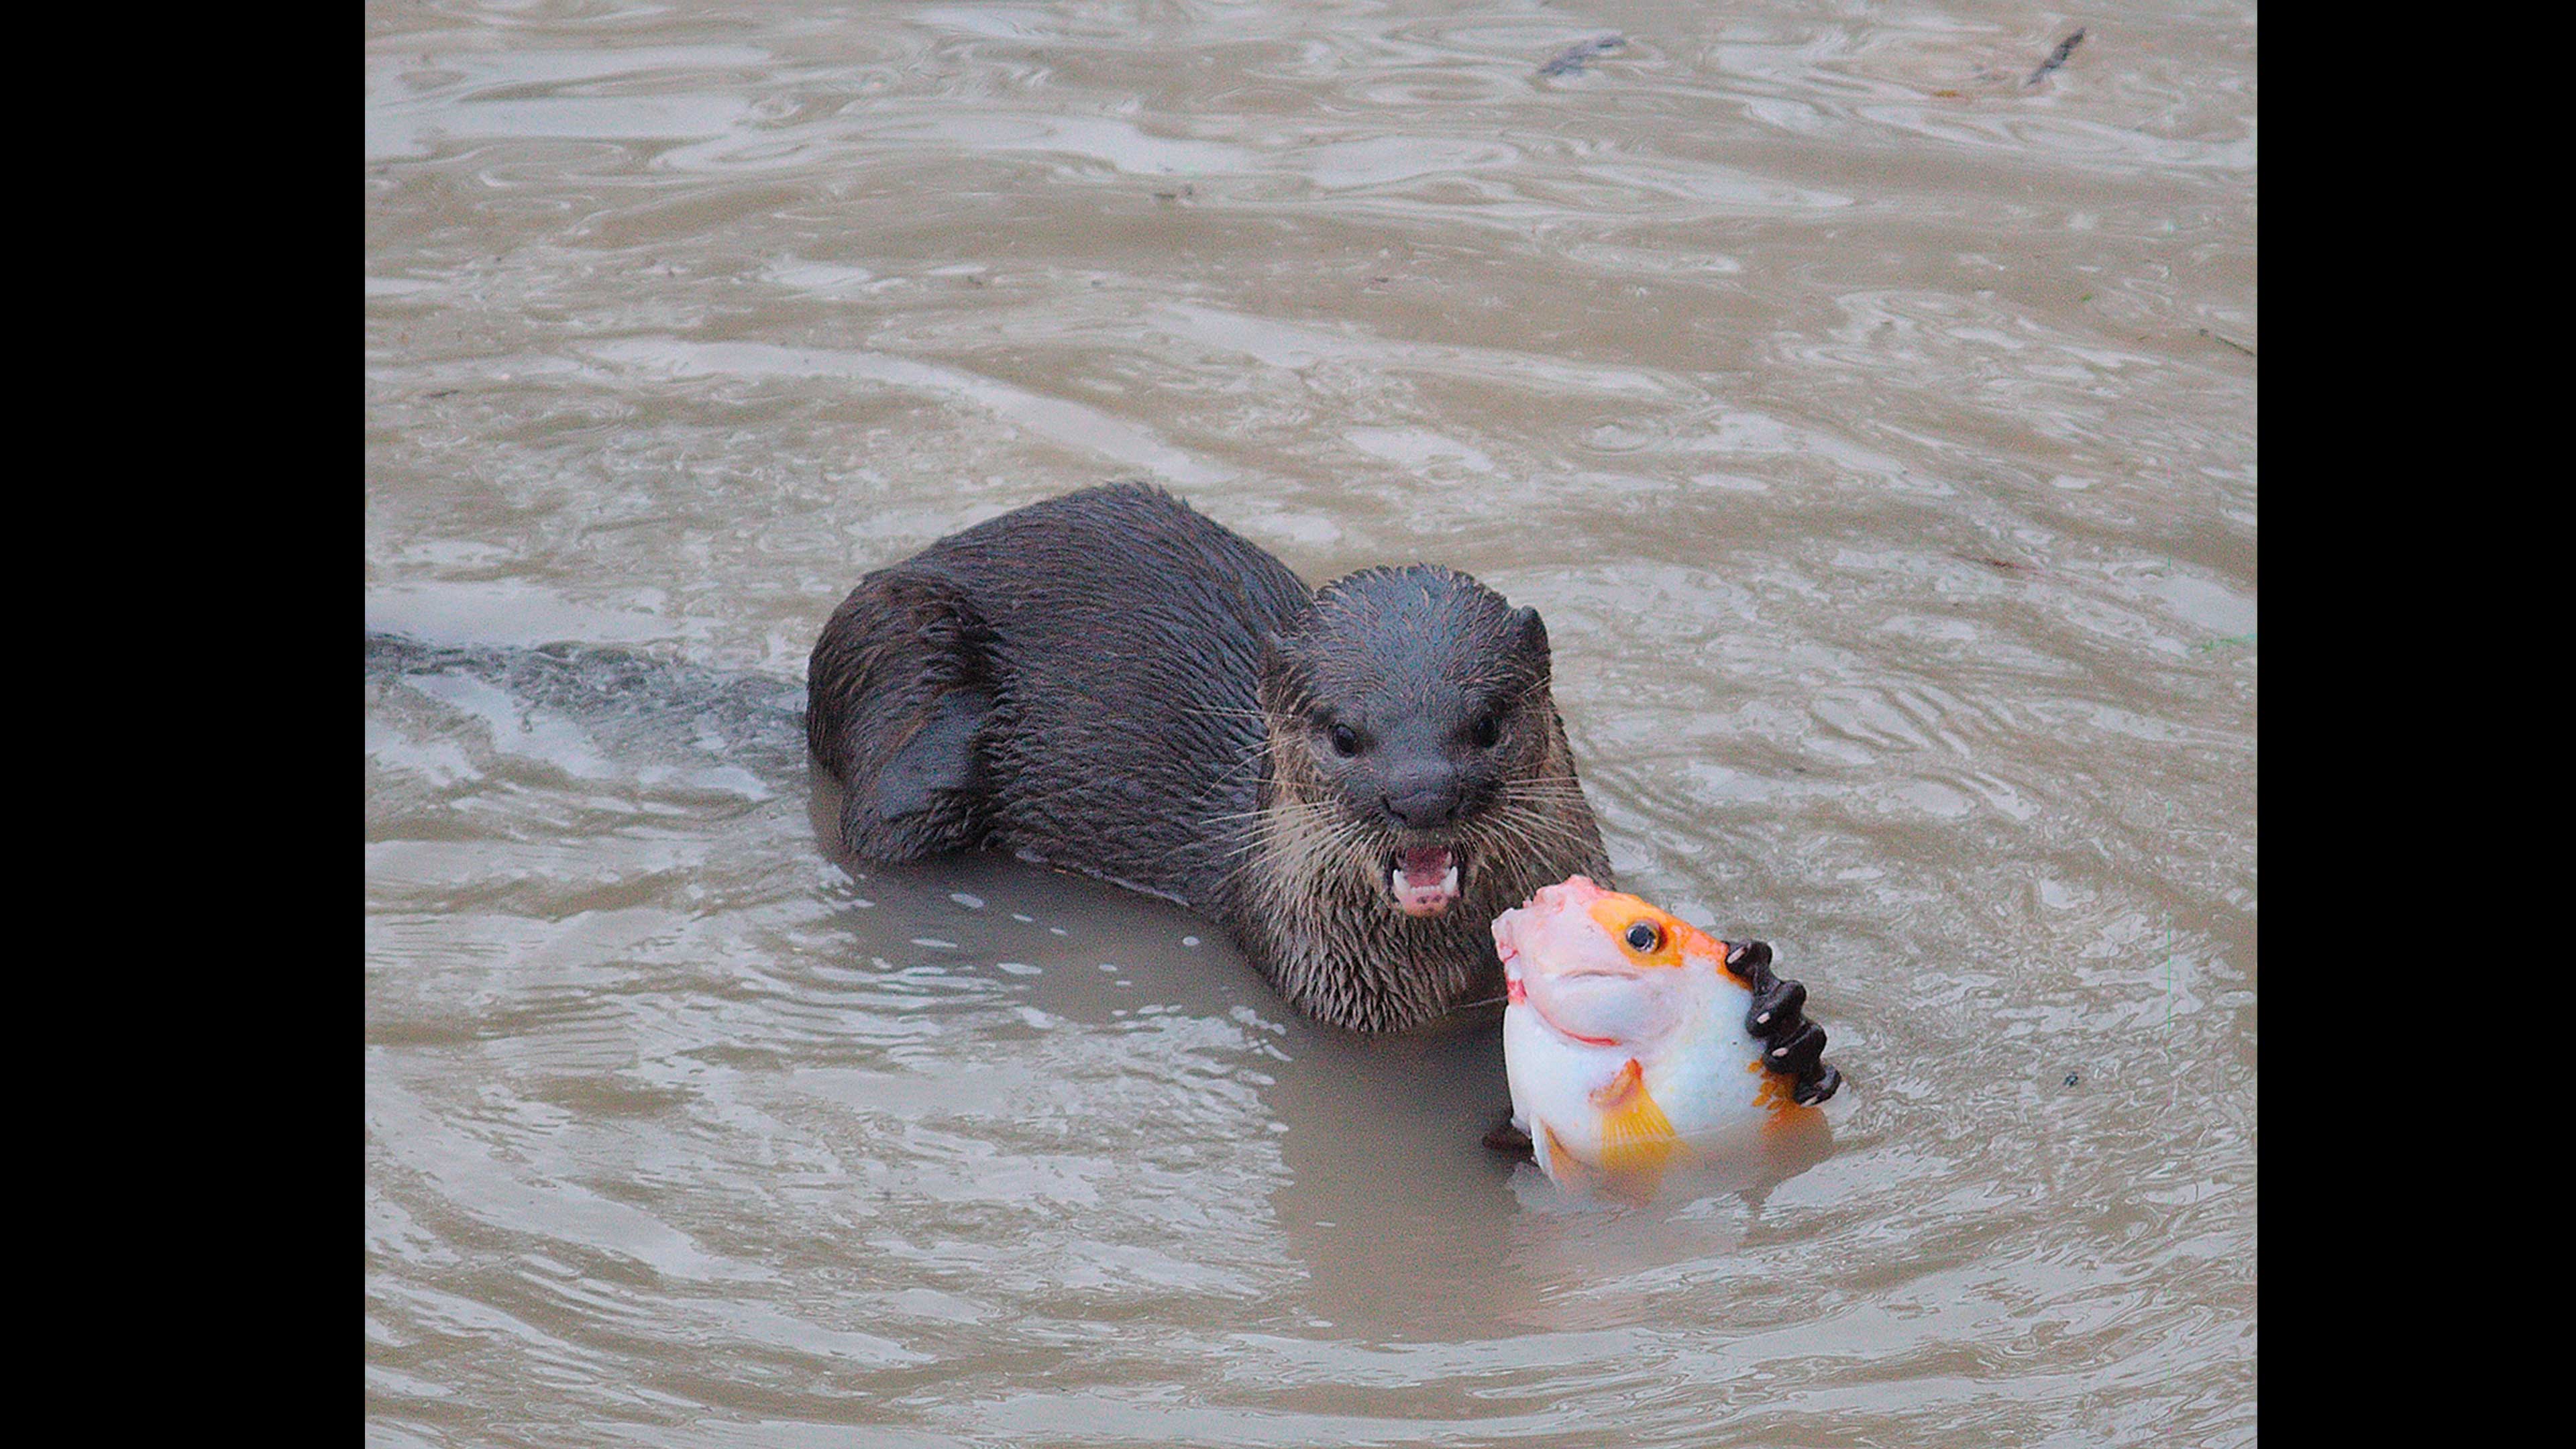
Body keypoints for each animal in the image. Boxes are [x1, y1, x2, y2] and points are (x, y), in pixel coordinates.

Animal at [804, 479, 1834, 1087]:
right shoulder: (1334, 997)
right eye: (1347, 735)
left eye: (1487, 724)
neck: (1447, 973)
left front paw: (1782, 1019)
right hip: (902, 683)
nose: (1421, 795)